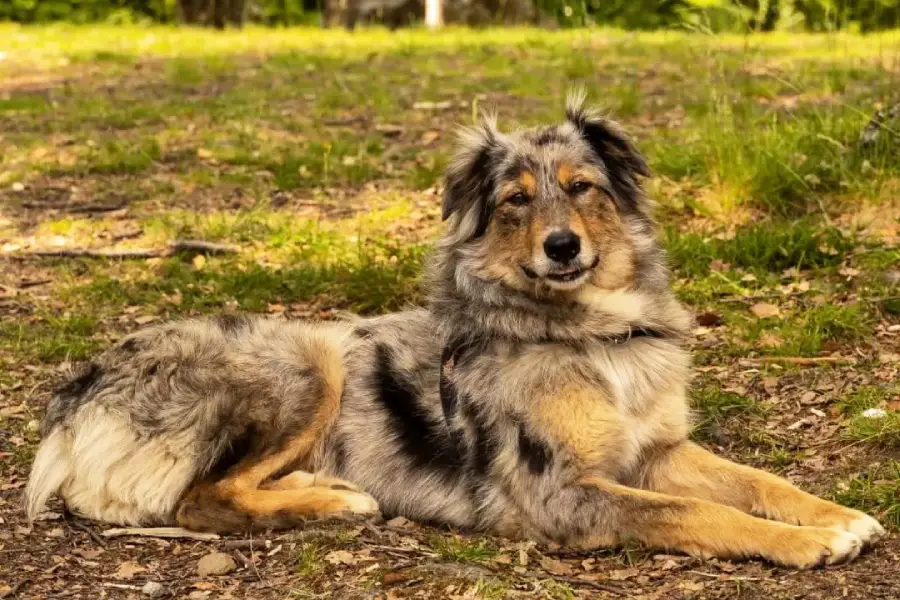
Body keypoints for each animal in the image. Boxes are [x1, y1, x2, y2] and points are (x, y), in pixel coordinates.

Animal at [24, 94, 884, 568]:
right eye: (514, 200)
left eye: (582, 188)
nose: (562, 246)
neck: (593, 334)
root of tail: (78, 392)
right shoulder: (562, 493)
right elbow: (697, 513)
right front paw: (803, 545)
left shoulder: (656, 449)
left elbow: (757, 482)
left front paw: (837, 515)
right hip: (304, 361)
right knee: (199, 500)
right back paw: (331, 502)